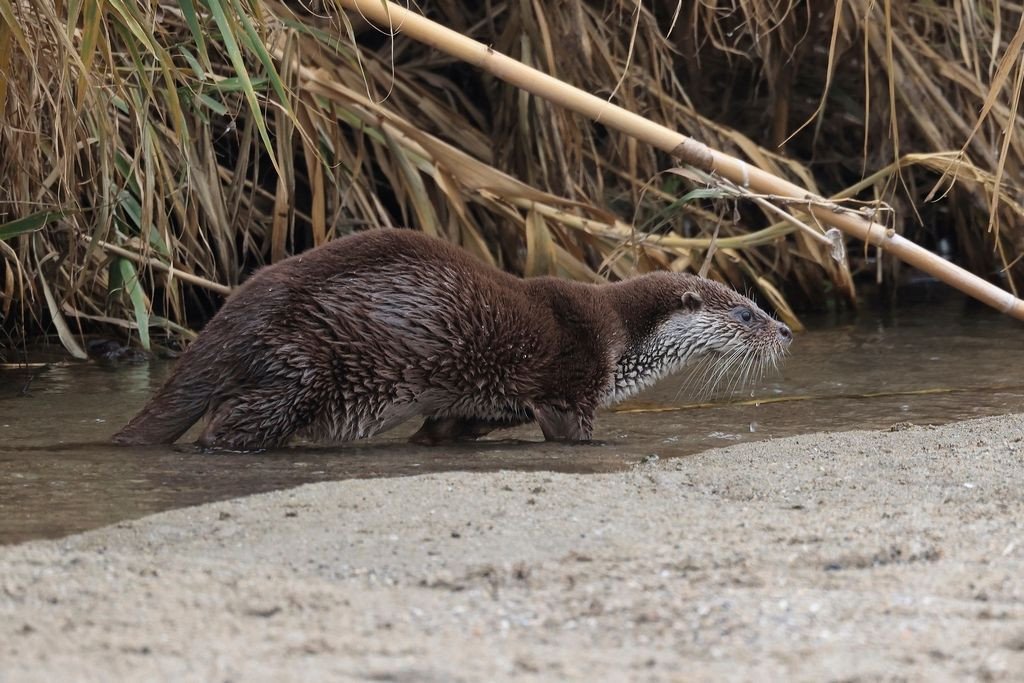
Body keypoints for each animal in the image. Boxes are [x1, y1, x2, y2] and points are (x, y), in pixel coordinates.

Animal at [116, 229, 794, 450]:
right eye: (746, 314)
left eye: (762, 305)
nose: (785, 328)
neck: (620, 339)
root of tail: (233, 315)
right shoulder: (570, 381)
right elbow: (571, 430)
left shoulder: (480, 405)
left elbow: (444, 428)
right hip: (299, 365)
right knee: (229, 425)